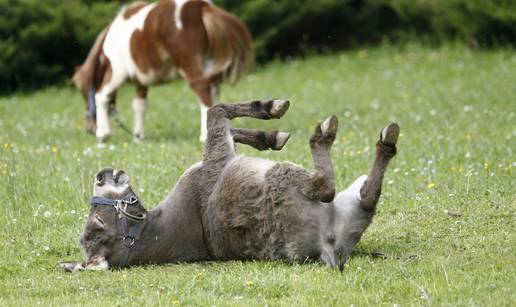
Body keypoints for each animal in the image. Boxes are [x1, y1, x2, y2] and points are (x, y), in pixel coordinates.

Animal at [72, 0, 254, 143]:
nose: (90, 129)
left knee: (204, 96)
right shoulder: (141, 82)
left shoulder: (116, 73)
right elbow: (139, 106)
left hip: (191, 69)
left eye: (82, 92)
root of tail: (201, 6)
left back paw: (204, 137)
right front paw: (138, 136)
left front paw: (103, 134)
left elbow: (101, 96)